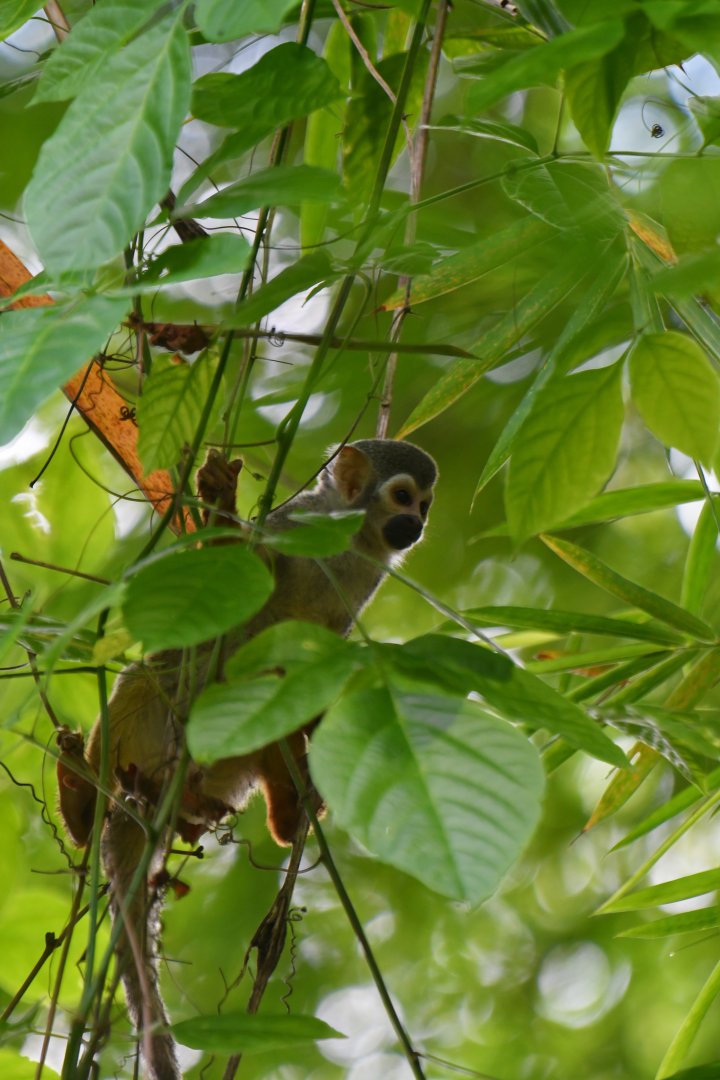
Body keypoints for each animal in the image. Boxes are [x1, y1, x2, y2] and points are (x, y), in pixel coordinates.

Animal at [56, 438, 437, 1080]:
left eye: (426, 502)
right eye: (403, 496)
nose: (417, 525)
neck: (348, 540)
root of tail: (154, 802)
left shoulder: (365, 584)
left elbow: (318, 663)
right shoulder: (292, 525)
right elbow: (240, 581)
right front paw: (219, 500)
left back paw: (287, 808)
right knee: (156, 671)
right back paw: (83, 799)